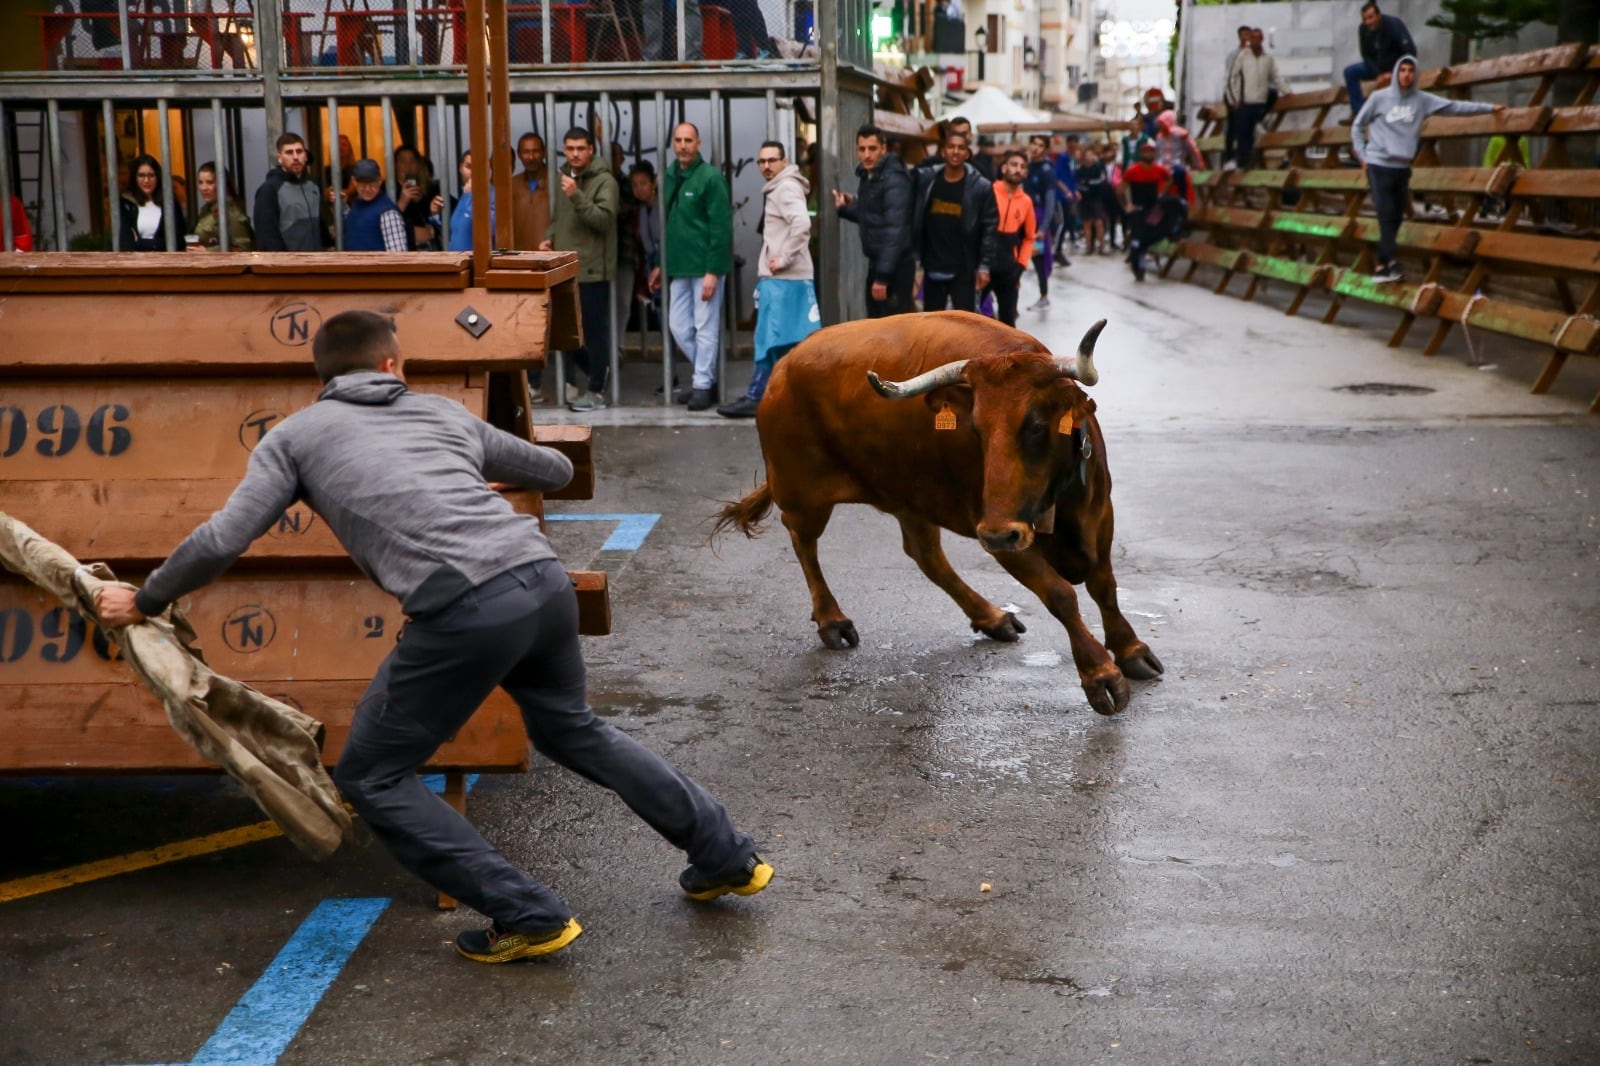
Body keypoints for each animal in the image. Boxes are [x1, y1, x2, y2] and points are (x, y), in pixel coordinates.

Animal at [716, 308, 1164, 713]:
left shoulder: (1100, 514)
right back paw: (832, 621)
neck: (1062, 500)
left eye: (1036, 425)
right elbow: (1061, 595)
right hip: (801, 490)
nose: (998, 532)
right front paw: (1100, 675)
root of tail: (785, 366)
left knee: (925, 555)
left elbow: (1105, 585)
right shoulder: (1000, 535)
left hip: (910, 495)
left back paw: (992, 617)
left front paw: (1130, 649)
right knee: (803, 542)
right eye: (977, 429)